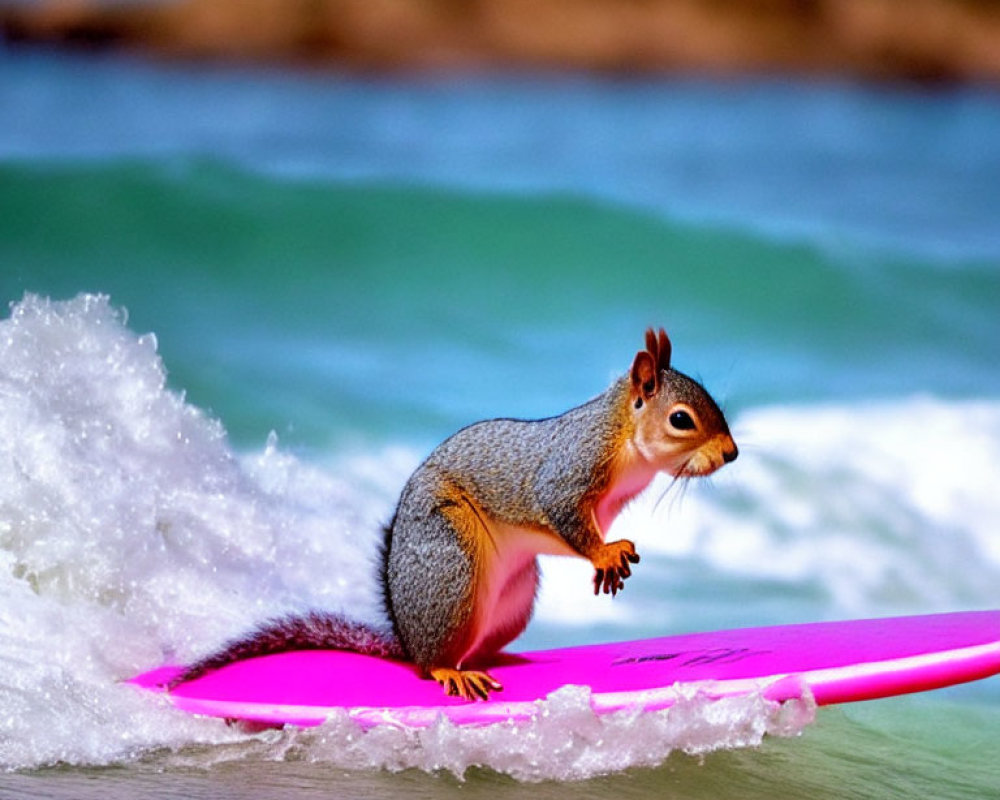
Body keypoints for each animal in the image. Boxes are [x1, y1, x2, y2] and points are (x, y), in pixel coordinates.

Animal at [178, 326, 736, 700]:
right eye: (681, 420)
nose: (731, 454)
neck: (623, 439)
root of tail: (408, 640)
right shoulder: (568, 472)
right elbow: (566, 515)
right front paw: (606, 553)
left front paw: (611, 553)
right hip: (452, 566)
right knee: (430, 665)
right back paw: (451, 670)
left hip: (513, 598)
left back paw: (503, 657)